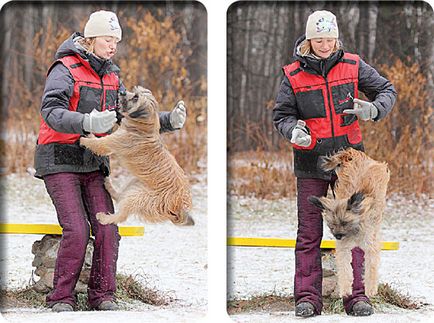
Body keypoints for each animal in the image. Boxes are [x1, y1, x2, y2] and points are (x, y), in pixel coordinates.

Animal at [79, 86, 193, 228]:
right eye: (134, 92)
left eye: (136, 97)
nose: (122, 92)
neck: (143, 126)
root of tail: (177, 205)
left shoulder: (112, 142)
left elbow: (98, 144)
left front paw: (84, 139)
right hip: (134, 184)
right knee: (120, 197)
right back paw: (108, 185)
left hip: (138, 197)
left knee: (121, 215)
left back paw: (103, 217)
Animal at [308, 148, 390, 298]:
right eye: (331, 225)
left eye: (345, 222)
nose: (338, 236)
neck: (355, 228)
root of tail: (353, 153)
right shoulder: (343, 248)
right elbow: (345, 268)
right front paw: (345, 289)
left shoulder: (371, 246)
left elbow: (371, 268)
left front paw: (370, 289)